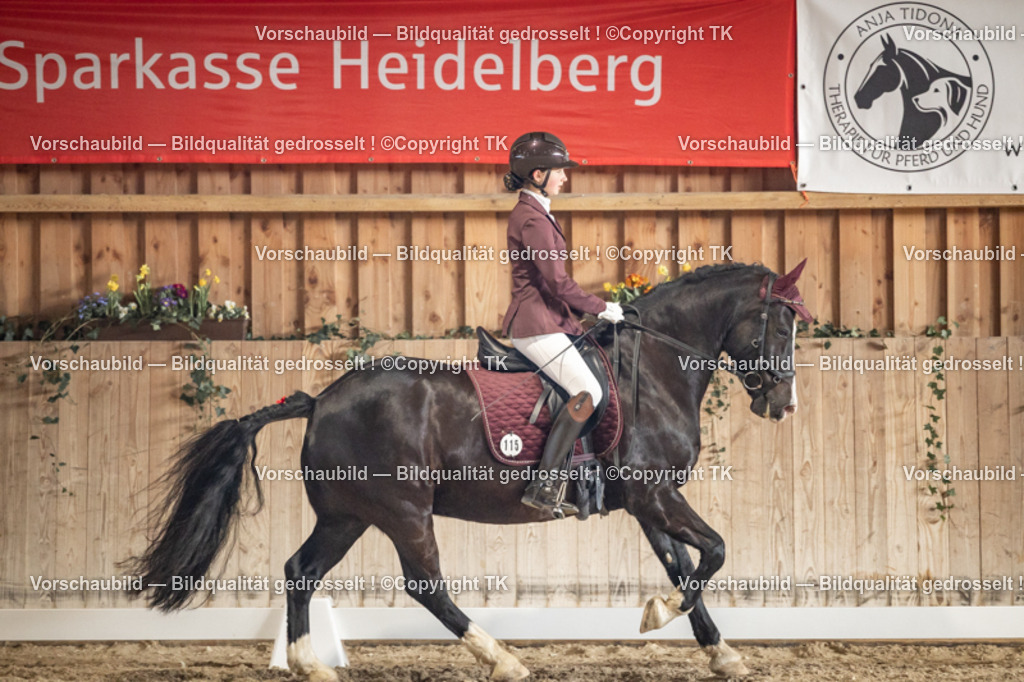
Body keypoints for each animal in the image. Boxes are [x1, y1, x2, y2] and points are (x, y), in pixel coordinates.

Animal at [125, 260, 809, 681]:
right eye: (782, 325)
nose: (783, 404)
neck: (656, 370)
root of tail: (322, 400)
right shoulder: (656, 496)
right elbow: (713, 553)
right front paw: (659, 615)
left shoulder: (649, 502)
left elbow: (684, 568)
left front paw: (720, 653)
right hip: (404, 512)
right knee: (425, 585)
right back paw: (503, 659)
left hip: (349, 515)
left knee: (300, 571)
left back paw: (309, 664)